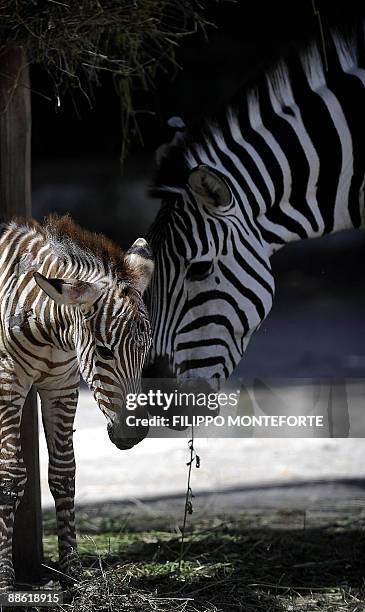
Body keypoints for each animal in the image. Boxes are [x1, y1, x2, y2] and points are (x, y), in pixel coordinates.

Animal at [0, 215, 152, 588]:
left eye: (147, 347)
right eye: (104, 351)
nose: (132, 436)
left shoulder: (62, 385)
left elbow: (63, 472)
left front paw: (72, 572)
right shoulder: (9, 379)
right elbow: (10, 475)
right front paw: (5, 579)